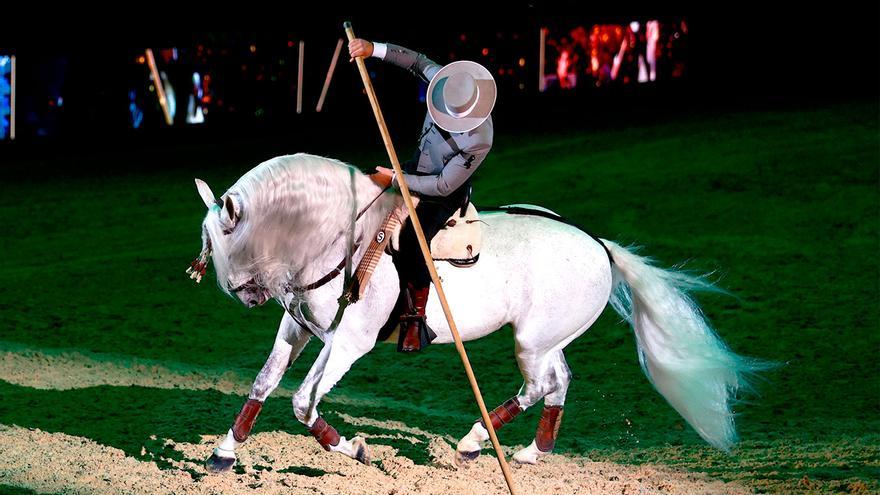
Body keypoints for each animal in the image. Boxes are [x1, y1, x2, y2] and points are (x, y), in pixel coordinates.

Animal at [189, 153, 767, 472]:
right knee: (558, 381)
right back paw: (532, 451)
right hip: (546, 338)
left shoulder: (346, 343)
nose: (244, 295)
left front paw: (353, 449)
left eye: (229, 238)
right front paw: (223, 453)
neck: (342, 238)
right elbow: (263, 384)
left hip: (531, 341)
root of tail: (599, 245)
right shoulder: (297, 328)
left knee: (540, 385)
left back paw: (472, 442)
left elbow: (303, 403)